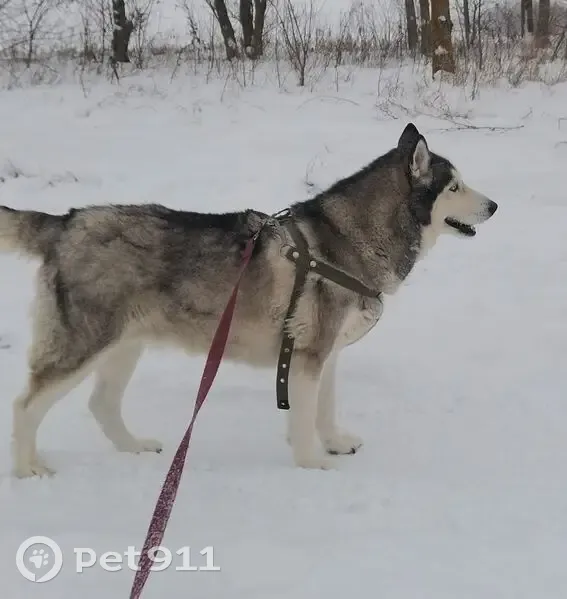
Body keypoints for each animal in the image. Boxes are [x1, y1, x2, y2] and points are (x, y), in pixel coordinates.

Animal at [0, 123, 497, 478]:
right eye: (453, 187)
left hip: (125, 345)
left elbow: (323, 408)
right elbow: (303, 416)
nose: (494, 206)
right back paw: (28, 469)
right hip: (83, 344)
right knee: (26, 406)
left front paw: (333, 441)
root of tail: (67, 221)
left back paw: (134, 447)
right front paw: (312, 464)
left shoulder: (325, 354)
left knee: (101, 404)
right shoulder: (308, 355)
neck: (349, 237)